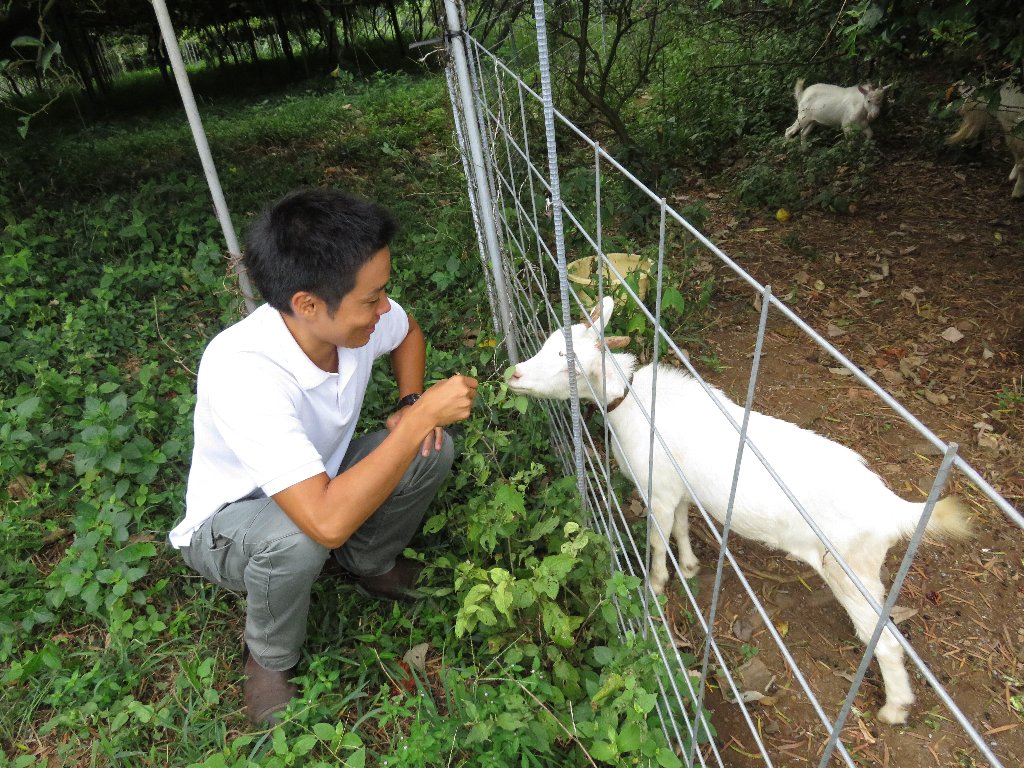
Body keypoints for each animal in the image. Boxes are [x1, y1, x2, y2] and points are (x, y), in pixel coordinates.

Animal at [507, 299, 970, 729]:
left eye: (569, 361)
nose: (514, 374)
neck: (634, 402)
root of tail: (893, 509)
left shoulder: (658, 490)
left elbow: (657, 538)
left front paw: (655, 585)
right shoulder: (681, 490)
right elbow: (681, 526)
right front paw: (690, 566)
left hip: (851, 569)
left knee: (886, 641)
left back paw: (894, 709)